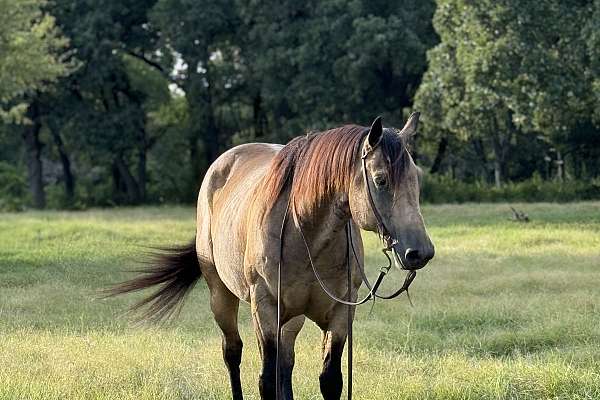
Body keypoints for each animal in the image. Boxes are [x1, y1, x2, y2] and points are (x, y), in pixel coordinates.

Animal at [110, 113, 434, 400]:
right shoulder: (265, 309)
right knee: (233, 353)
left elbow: (329, 380)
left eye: (416, 179)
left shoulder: (341, 312)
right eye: (380, 180)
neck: (306, 234)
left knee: (285, 364)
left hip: (292, 319)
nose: (420, 252)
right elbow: (265, 381)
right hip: (221, 297)